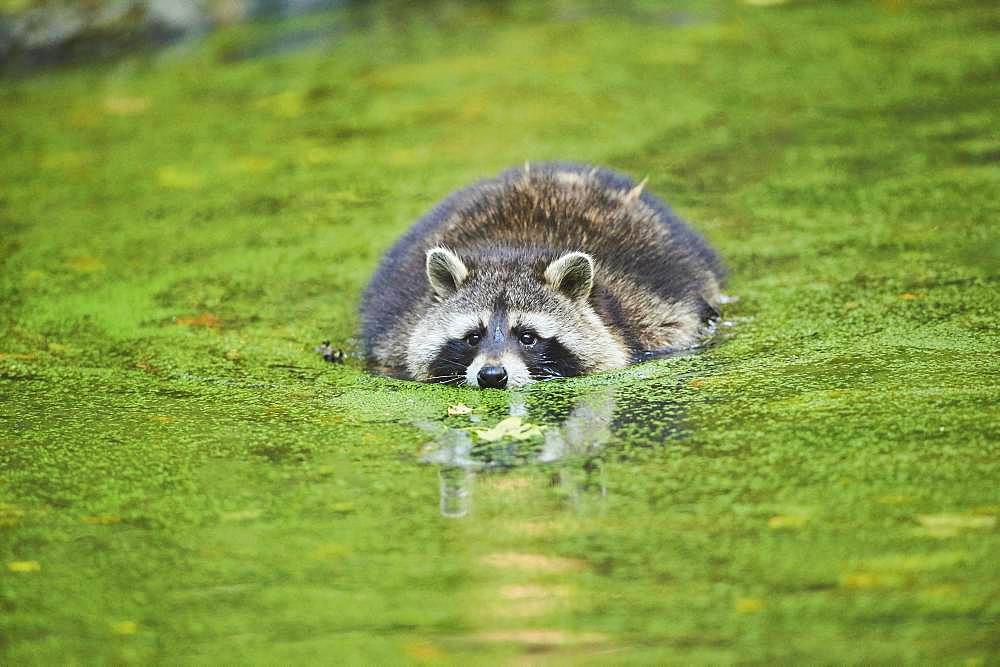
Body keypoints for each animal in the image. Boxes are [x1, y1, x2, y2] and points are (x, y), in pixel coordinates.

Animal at [364, 163, 724, 392]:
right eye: (473, 337)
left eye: (528, 337)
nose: (492, 375)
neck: (515, 251)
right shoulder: (396, 336)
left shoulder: (656, 319)